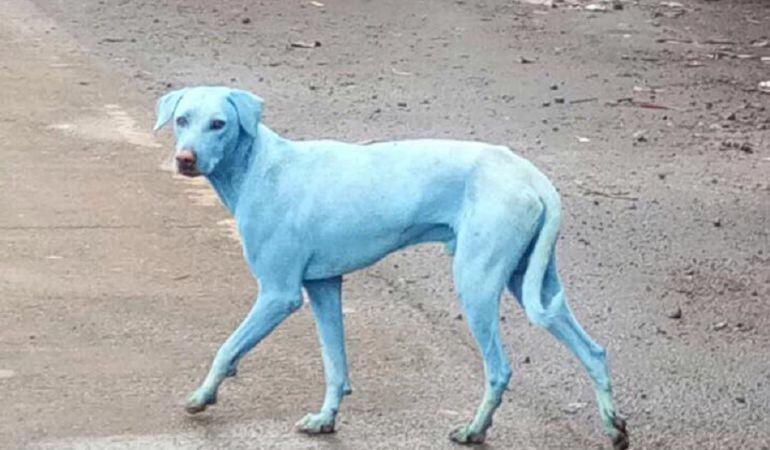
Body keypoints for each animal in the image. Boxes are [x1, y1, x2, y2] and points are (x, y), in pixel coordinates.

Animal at [153, 86, 628, 448]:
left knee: (499, 369)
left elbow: (227, 347)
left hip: (476, 284)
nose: (185, 159)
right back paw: (614, 427)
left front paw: (201, 396)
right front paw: (326, 419)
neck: (258, 166)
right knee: (592, 351)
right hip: (532, 282)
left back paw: (474, 430)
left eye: (219, 124)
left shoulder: (278, 295)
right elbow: (335, 365)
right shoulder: (324, 286)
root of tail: (530, 173)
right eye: (182, 120)